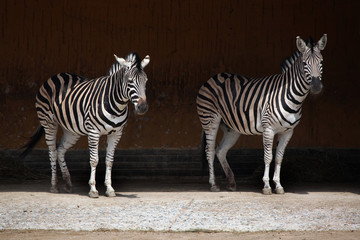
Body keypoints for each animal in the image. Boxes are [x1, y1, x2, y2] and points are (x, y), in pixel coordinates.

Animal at [21, 53, 150, 198]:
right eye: (130, 81)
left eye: (146, 81)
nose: (143, 108)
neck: (116, 105)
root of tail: (57, 75)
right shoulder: (94, 132)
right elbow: (94, 160)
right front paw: (93, 189)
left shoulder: (116, 134)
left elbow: (109, 160)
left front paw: (110, 189)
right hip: (48, 123)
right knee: (53, 152)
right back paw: (54, 186)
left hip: (72, 131)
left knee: (60, 150)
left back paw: (68, 184)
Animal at [197, 34, 326, 195]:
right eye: (304, 63)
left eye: (321, 62)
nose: (316, 86)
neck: (291, 95)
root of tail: (214, 76)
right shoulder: (268, 128)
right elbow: (268, 157)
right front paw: (266, 186)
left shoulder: (288, 132)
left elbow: (278, 158)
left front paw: (278, 185)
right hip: (210, 120)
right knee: (209, 151)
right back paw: (214, 184)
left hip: (231, 127)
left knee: (220, 151)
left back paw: (231, 183)